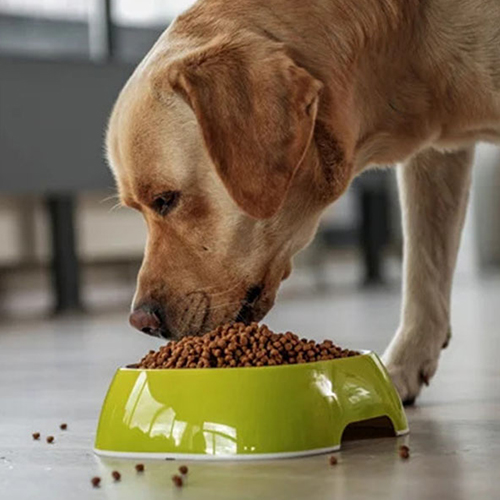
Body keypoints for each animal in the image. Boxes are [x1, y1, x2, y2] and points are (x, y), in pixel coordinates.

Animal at [103, 0, 498, 402]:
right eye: (137, 209)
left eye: (165, 199)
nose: (142, 321)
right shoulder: (435, 157)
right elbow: (423, 272)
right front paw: (401, 370)